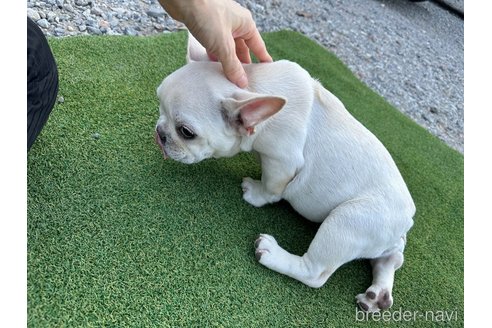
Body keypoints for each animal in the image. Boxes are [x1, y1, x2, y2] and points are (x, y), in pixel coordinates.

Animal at [155, 34, 416, 312]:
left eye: (186, 132)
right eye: (158, 100)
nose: (160, 133)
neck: (255, 83)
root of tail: (407, 218)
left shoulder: (282, 161)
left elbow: (271, 187)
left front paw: (255, 194)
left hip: (350, 220)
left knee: (315, 272)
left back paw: (272, 253)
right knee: (392, 258)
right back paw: (378, 294)